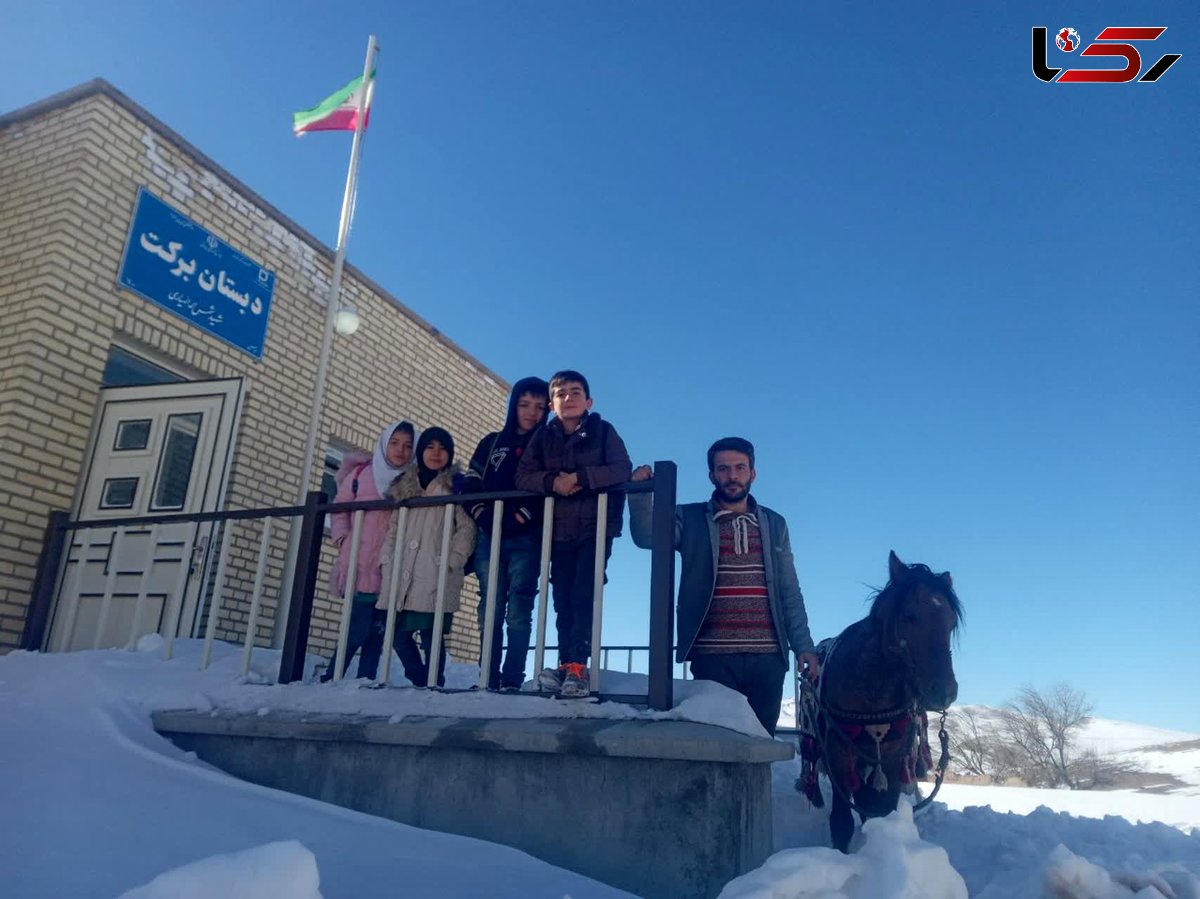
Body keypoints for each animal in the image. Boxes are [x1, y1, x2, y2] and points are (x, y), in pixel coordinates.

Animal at [796, 549, 964, 854]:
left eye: (950, 622)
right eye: (909, 615)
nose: (944, 692)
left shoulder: (893, 756)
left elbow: (882, 809)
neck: (872, 690)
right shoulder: (839, 753)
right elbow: (841, 821)